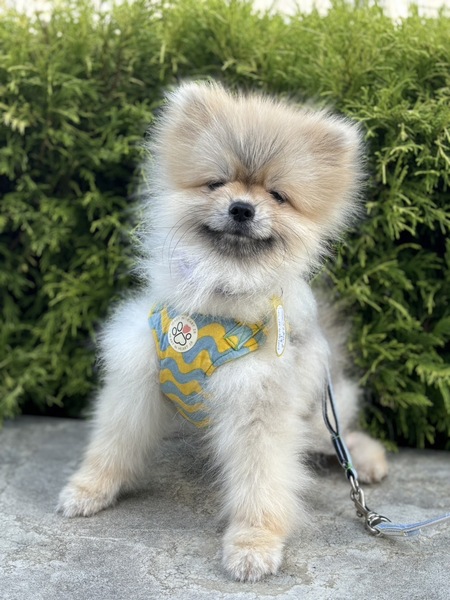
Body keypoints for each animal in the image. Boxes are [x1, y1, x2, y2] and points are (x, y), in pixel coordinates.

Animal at [58, 82, 388, 582]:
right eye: (216, 183)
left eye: (277, 195)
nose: (242, 208)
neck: (219, 293)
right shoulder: (138, 375)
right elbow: (114, 441)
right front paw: (91, 488)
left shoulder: (258, 402)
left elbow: (262, 481)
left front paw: (254, 543)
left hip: (318, 411)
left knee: (338, 439)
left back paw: (366, 460)